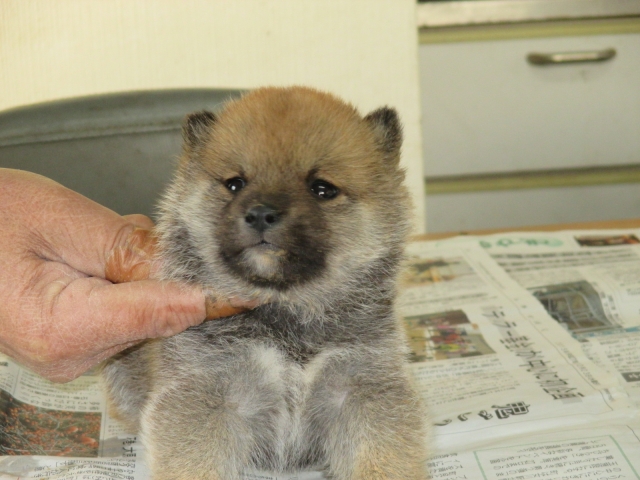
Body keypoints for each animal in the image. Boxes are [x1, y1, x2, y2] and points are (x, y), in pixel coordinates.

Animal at [102, 86, 429, 479]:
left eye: (322, 189)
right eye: (235, 184)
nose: (260, 213)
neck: (287, 311)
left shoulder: (365, 385)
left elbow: (382, 456)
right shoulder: (205, 391)